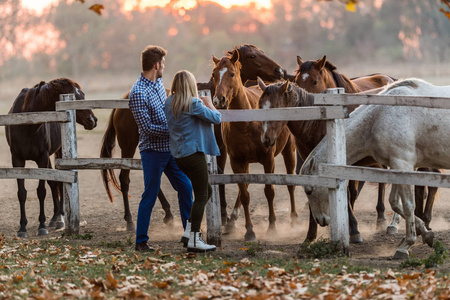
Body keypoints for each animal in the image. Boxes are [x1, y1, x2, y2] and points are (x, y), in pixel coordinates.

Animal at [5, 78, 97, 238]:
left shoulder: (42, 158)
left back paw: (60, 218)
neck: (27, 123)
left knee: (58, 183)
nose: (92, 120)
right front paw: (22, 228)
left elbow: (41, 191)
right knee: (54, 183)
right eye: (74, 96)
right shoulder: (17, 160)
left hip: (57, 152)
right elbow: (22, 193)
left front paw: (41, 226)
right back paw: (55, 218)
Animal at [101, 45, 284, 232]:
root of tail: (124, 101)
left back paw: (168, 214)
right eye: (253, 56)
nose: (279, 71)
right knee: (125, 179)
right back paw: (130, 220)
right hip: (128, 146)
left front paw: (228, 217)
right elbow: (223, 178)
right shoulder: (221, 150)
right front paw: (225, 217)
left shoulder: (226, 150)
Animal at [212, 50, 298, 240]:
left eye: (232, 74)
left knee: (290, 184)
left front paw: (272, 227)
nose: (219, 100)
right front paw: (249, 230)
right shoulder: (237, 161)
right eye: (214, 75)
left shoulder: (268, 160)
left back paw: (293, 219)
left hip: (289, 151)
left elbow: (269, 191)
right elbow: (244, 194)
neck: (246, 123)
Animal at [300, 78, 450, 258]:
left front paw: (406, 245)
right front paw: (427, 234)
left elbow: (408, 206)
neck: (380, 115)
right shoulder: (397, 167)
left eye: (309, 191)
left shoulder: (403, 164)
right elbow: (395, 203)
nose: (320, 220)